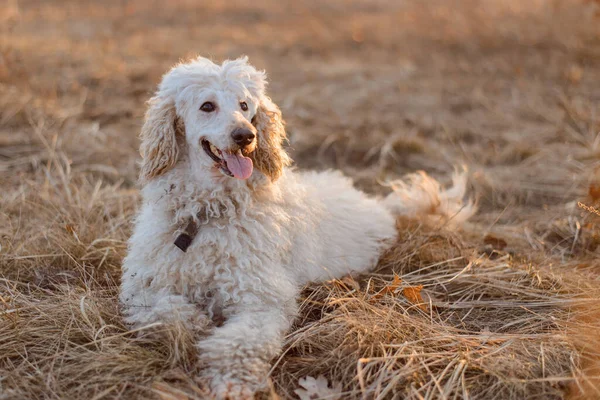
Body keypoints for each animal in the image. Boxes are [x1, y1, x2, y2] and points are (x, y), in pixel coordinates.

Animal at [122, 55, 476, 396]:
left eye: (244, 105)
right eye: (207, 106)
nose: (246, 136)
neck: (208, 212)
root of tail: (376, 205)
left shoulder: (262, 297)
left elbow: (239, 342)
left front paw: (230, 382)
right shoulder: (143, 287)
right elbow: (161, 311)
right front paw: (197, 323)